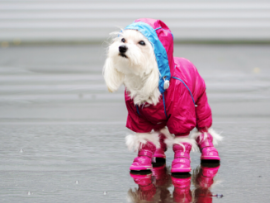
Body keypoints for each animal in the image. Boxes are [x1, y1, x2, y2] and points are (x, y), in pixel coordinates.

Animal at [103, 18, 221, 172]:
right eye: (123, 39)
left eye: (142, 43)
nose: (122, 47)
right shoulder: (137, 119)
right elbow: (145, 140)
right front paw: (142, 160)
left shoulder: (181, 115)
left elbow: (181, 141)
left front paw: (181, 163)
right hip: (159, 121)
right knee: (160, 135)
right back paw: (158, 154)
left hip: (200, 104)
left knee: (204, 127)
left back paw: (209, 152)